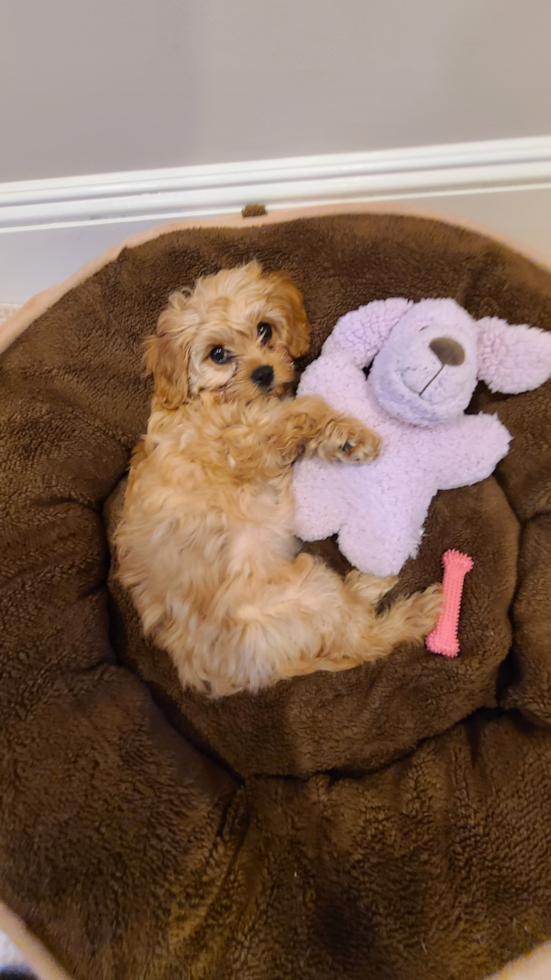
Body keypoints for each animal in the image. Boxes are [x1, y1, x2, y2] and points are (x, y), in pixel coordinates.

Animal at [115, 260, 440, 696]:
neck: (205, 400)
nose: (265, 373)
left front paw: (340, 440)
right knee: (364, 638)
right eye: (218, 354)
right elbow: (304, 408)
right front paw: (354, 437)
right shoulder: (240, 445)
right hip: (307, 593)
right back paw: (419, 610)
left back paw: (369, 582)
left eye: (265, 330)